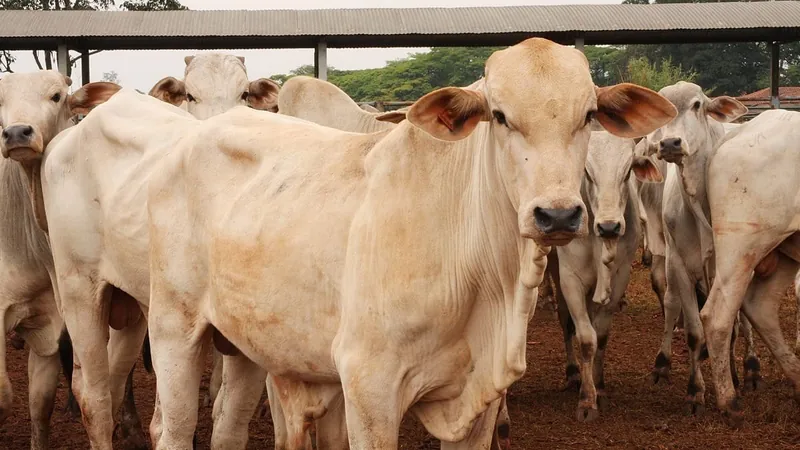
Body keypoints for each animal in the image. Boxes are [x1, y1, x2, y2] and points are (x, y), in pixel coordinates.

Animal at [556, 132, 664, 420]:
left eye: (627, 172)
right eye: (587, 172)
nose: (608, 227)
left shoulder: (620, 277)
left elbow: (601, 335)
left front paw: (599, 388)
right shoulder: (569, 279)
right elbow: (585, 338)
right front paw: (586, 400)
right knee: (565, 322)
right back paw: (573, 373)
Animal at [648, 81, 760, 414]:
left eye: (697, 105)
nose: (670, 143)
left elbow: (734, 325)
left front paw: (734, 377)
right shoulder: (680, 265)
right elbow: (695, 333)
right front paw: (695, 391)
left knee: (744, 322)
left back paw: (750, 368)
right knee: (671, 304)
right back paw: (663, 363)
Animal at [704, 108, 800, 426]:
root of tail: (741, 132)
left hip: (785, 251)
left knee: (761, 306)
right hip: (741, 245)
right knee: (716, 316)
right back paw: (729, 402)